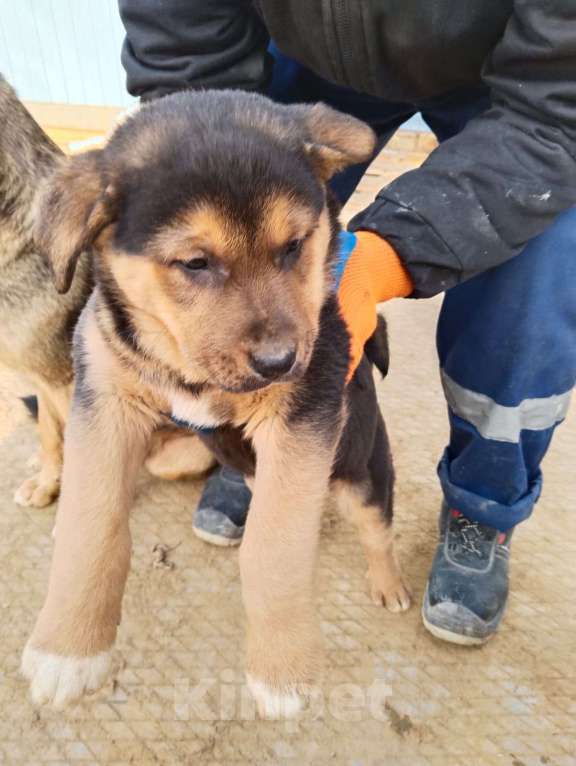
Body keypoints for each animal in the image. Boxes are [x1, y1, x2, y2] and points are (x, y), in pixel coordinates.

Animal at [22, 91, 410, 720]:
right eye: (196, 264)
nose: (281, 363)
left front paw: (283, 671)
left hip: (363, 470)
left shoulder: (303, 416)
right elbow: (92, 527)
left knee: (377, 529)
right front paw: (67, 652)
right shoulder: (103, 400)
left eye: (294, 247)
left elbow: (275, 548)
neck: (191, 370)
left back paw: (390, 585)